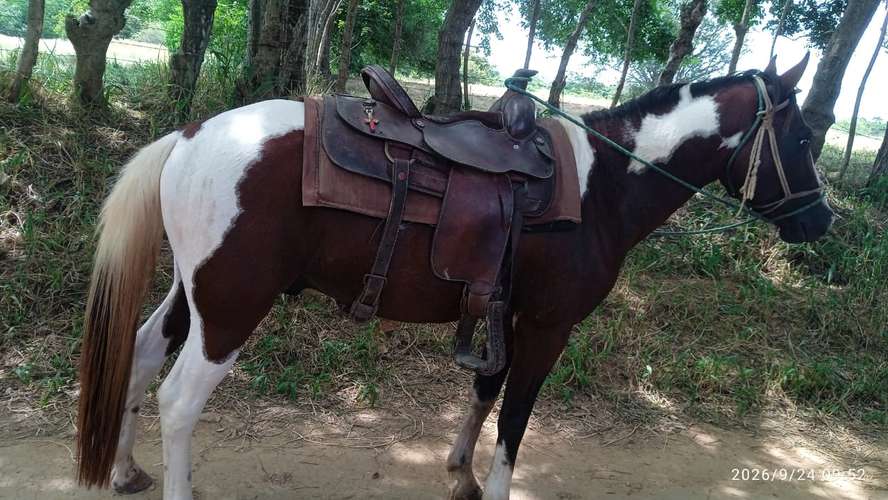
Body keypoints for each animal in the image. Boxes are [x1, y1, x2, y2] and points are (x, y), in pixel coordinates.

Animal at [75, 55, 832, 500]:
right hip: (233, 306)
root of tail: (190, 135)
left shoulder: (508, 310)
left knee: (141, 356)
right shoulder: (551, 325)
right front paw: (489, 485)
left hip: (194, 294)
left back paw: (125, 469)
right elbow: (518, 413)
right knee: (179, 401)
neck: (603, 187)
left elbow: (485, 390)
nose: (820, 221)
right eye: (802, 138)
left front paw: (459, 472)